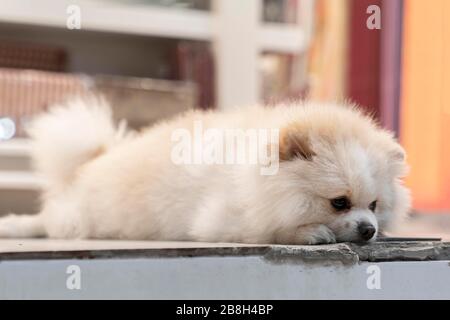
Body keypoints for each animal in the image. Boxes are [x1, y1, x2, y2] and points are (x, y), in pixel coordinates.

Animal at [0, 99, 412, 244]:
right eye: (339, 202)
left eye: (374, 206)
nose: (369, 230)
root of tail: (94, 159)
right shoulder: (221, 220)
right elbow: (269, 230)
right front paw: (309, 233)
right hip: (80, 218)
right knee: (47, 221)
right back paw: (16, 226)